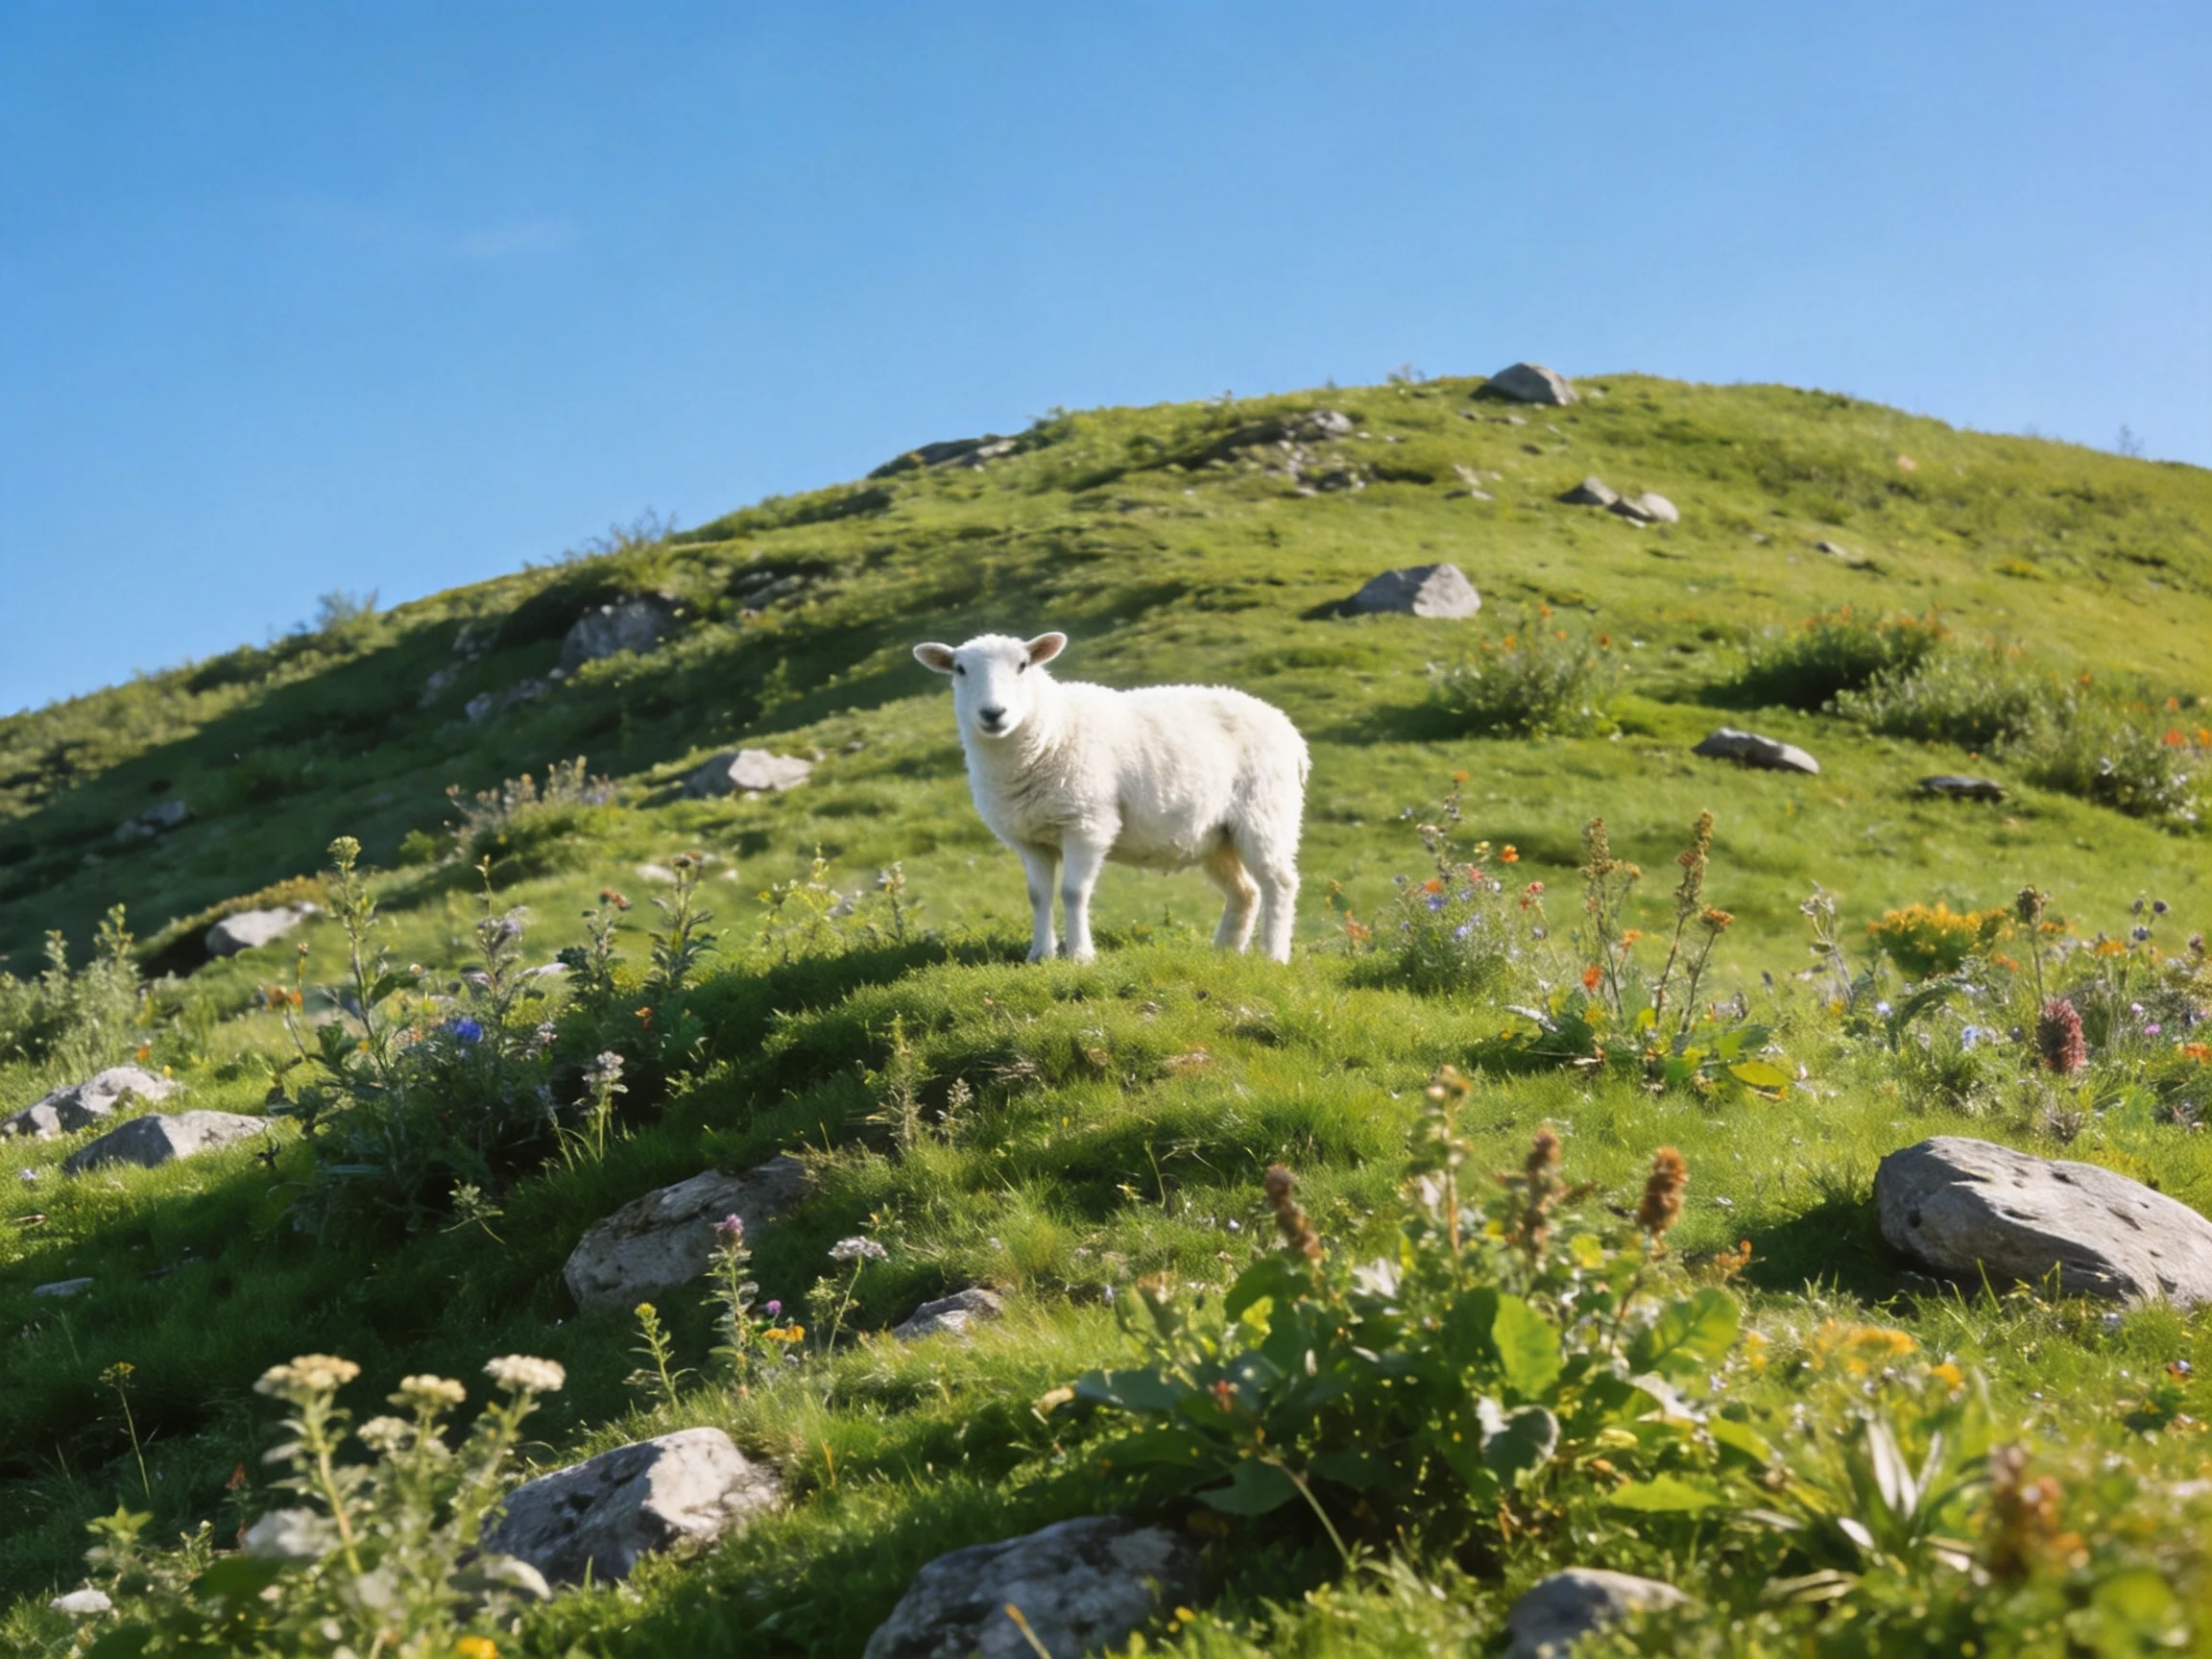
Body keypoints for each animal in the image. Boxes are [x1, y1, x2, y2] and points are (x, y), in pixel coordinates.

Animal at [912, 631, 1309, 964]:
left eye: (1023, 665)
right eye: (960, 669)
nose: (993, 713)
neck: (1051, 731)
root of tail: (1290, 730)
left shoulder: (1087, 822)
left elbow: (1074, 892)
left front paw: (1080, 955)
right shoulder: (1029, 837)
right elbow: (1038, 896)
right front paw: (1039, 955)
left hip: (1266, 813)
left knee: (1280, 884)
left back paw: (1273, 956)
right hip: (1216, 835)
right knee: (1245, 892)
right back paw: (1226, 952)